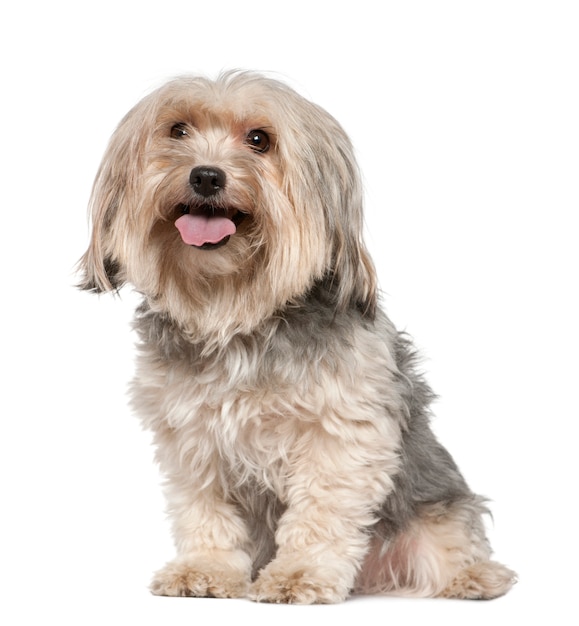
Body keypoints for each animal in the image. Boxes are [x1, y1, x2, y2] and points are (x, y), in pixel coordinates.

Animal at [77, 69, 516, 600]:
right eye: (177, 130)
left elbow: (320, 512)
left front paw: (300, 573)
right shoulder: (192, 437)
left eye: (259, 140)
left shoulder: (340, 434)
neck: (235, 313)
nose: (206, 175)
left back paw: (472, 577)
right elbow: (204, 510)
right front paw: (205, 568)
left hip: (435, 514)